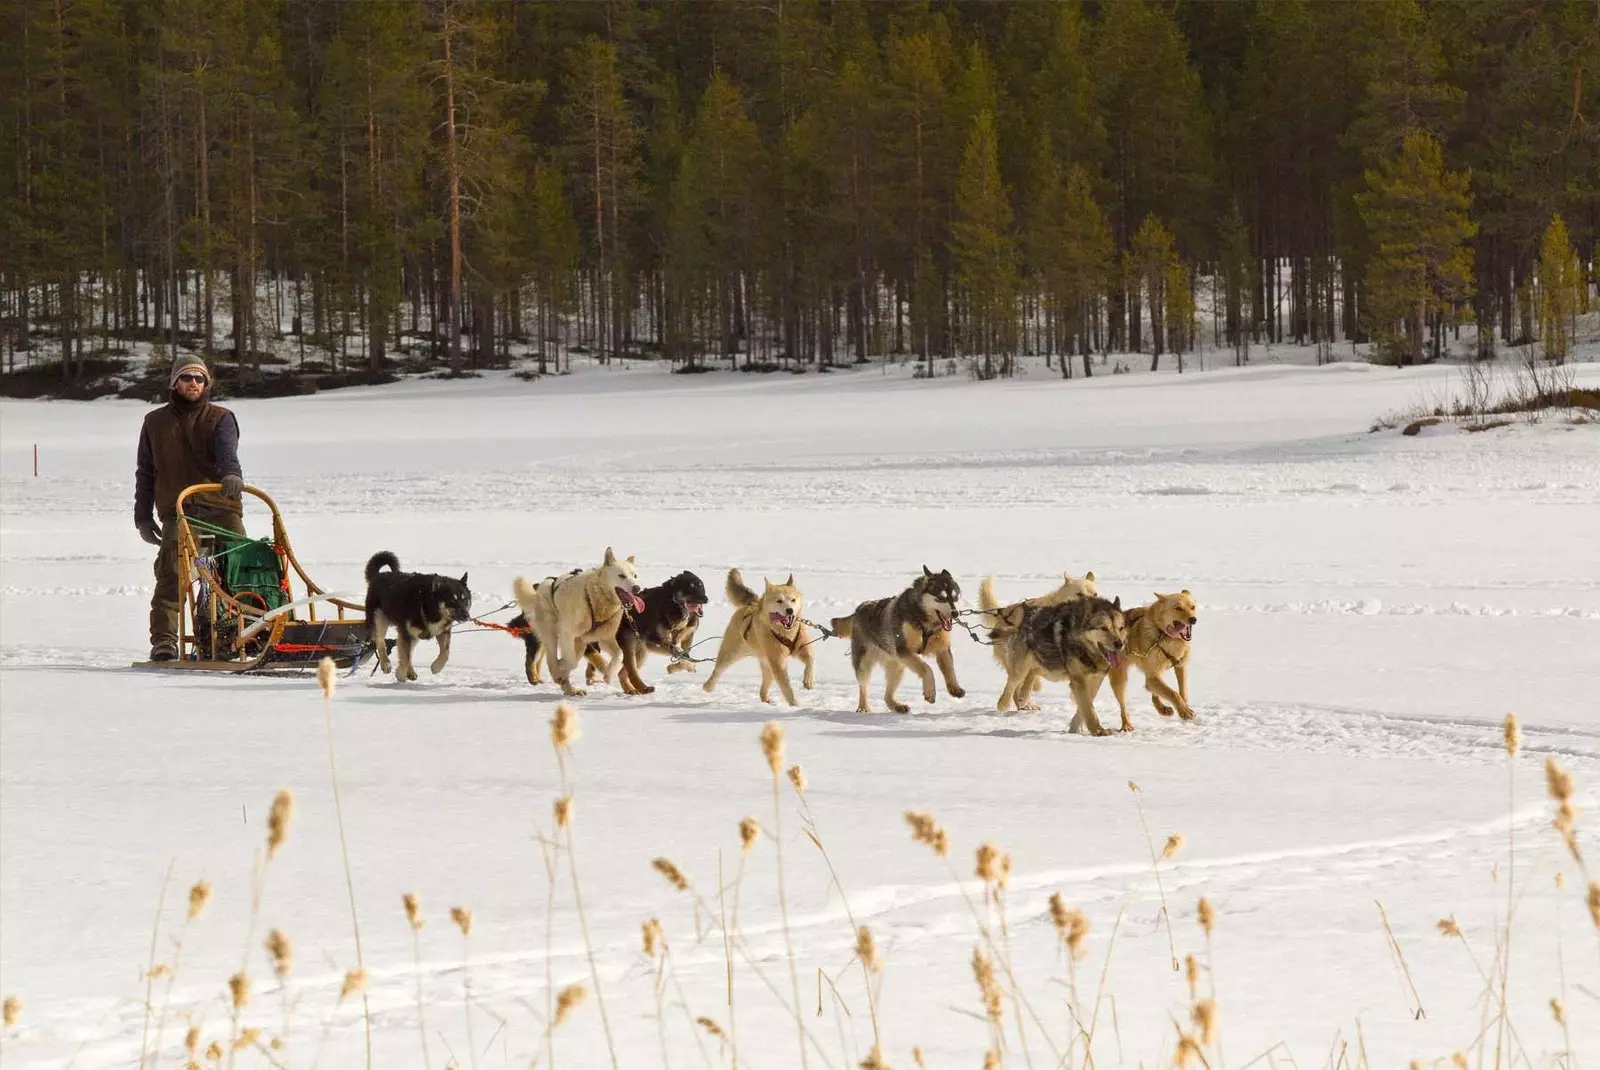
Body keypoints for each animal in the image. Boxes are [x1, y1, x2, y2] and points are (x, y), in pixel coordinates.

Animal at [508, 546, 640, 697]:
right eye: (621, 575)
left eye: (635, 576)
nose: (637, 588)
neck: (595, 601)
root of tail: (541, 587)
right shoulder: (566, 632)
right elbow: (571, 661)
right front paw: (561, 668)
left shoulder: (605, 638)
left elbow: (619, 654)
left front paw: (609, 674)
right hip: (552, 633)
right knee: (553, 657)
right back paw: (559, 674)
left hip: (580, 641)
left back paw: (570, 689)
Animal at [704, 566, 819, 710]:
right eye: (779, 601)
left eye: (793, 600)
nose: (790, 610)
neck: (785, 633)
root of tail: (753, 604)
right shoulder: (778, 662)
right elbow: (787, 686)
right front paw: (795, 704)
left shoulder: (802, 648)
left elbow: (811, 660)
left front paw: (808, 680)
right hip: (732, 653)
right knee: (718, 670)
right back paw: (708, 686)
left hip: (768, 666)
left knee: (764, 687)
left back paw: (766, 700)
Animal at [1113, 588, 1203, 729]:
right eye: (1178, 608)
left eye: (1192, 607)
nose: (1193, 619)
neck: (1164, 634)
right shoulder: (1154, 675)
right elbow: (1173, 693)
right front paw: (1184, 711)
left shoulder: (1180, 666)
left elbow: (1183, 692)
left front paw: (1184, 706)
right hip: (1121, 679)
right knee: (1124, 705)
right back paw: (1126, 724)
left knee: (1151, 690)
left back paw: (1162, 708)